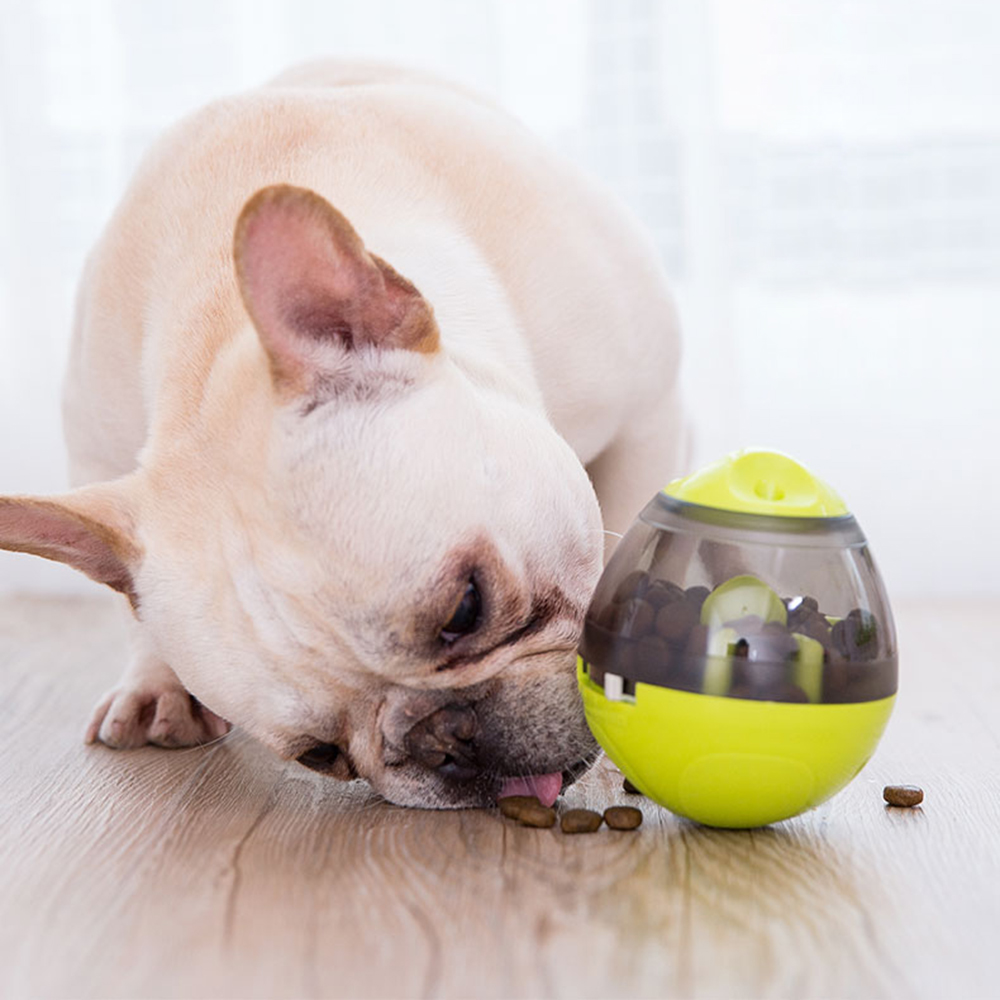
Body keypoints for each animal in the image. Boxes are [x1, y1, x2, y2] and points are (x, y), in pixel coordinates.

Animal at [0, 60, 684, 804]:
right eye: (321, 755)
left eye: (465, 609)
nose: (445, 740)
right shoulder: (100, 457)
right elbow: (135, 608)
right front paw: (157, 682)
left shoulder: (647, 413)